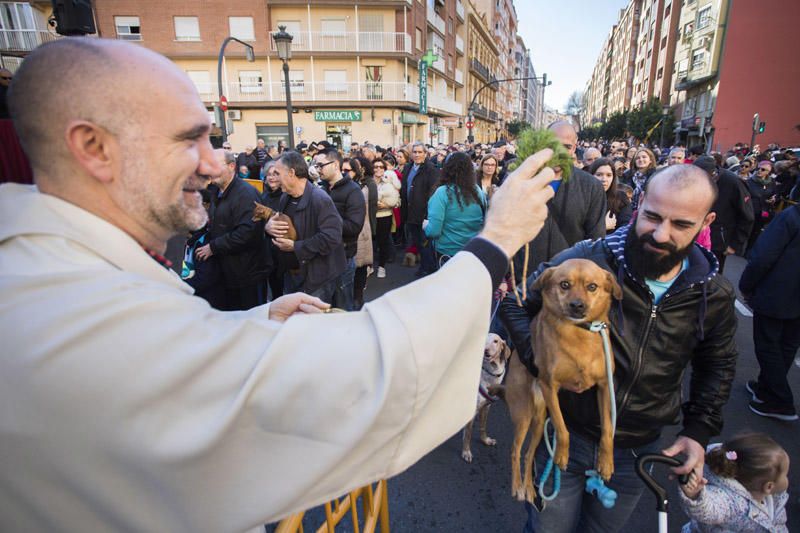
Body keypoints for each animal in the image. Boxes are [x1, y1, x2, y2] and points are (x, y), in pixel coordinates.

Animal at [504, 256, 620, 498]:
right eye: (564, 284)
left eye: (592, 287)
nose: (577, 305)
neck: (580, 333)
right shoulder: (550, 386)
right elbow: (562, 428)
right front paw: (561, 456)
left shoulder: (605, 387)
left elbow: (607, 430)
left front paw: (606, 463)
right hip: (524, 414)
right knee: (515, 450)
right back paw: (517, 485)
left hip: (539, 421)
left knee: (529, 454)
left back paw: (529, 487)